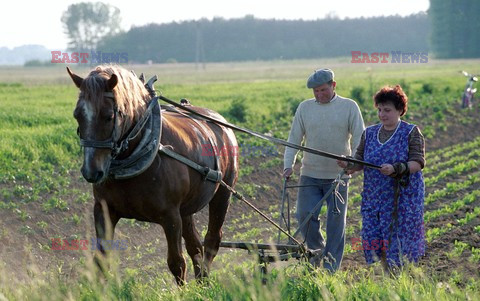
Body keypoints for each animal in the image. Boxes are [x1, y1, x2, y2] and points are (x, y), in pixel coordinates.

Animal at [66, 64, 239, 282]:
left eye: (109, 116)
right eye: (77, 115)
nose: (91, 172)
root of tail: (222, 124)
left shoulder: (170, 217)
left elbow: (176, 263)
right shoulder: (104, 210)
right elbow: (101, 261)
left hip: (223, 194)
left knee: (211, 241)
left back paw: (205, 279)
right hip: (186, 209)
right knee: (195, 246)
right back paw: (201, 281)